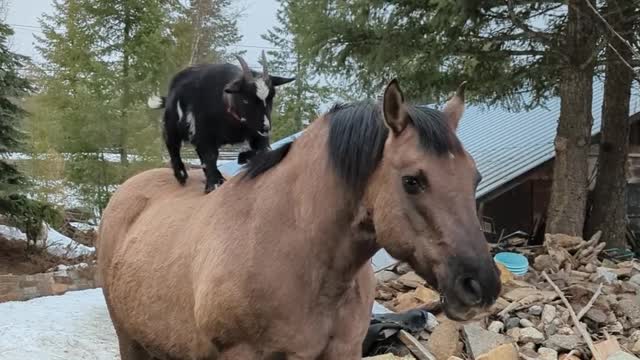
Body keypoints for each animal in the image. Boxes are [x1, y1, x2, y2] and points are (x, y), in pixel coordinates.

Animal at [148, 51, 296, 193]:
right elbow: (210, 156)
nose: (266, 127)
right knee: (172, 146)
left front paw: (243, 157)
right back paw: (181, 175)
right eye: (246, 99)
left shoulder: (256, 134)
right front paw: (213, 184)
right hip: (171, 125)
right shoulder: (203, 133)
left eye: (271, 97)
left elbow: (264, 150)